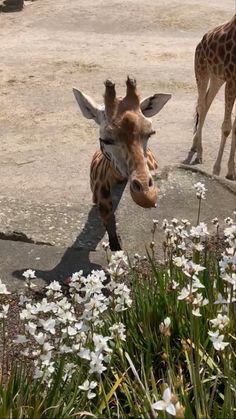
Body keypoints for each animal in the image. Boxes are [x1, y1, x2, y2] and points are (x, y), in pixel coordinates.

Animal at [183, 14, 236, 179]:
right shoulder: (232, 79)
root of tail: (200, 42)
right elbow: (226, 127)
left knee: (206, 104)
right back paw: (199, 153)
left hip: (217, 77)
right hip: (202, 71)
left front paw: (231, 171)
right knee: (201, 106)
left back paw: (195, 146)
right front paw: (217, 169)